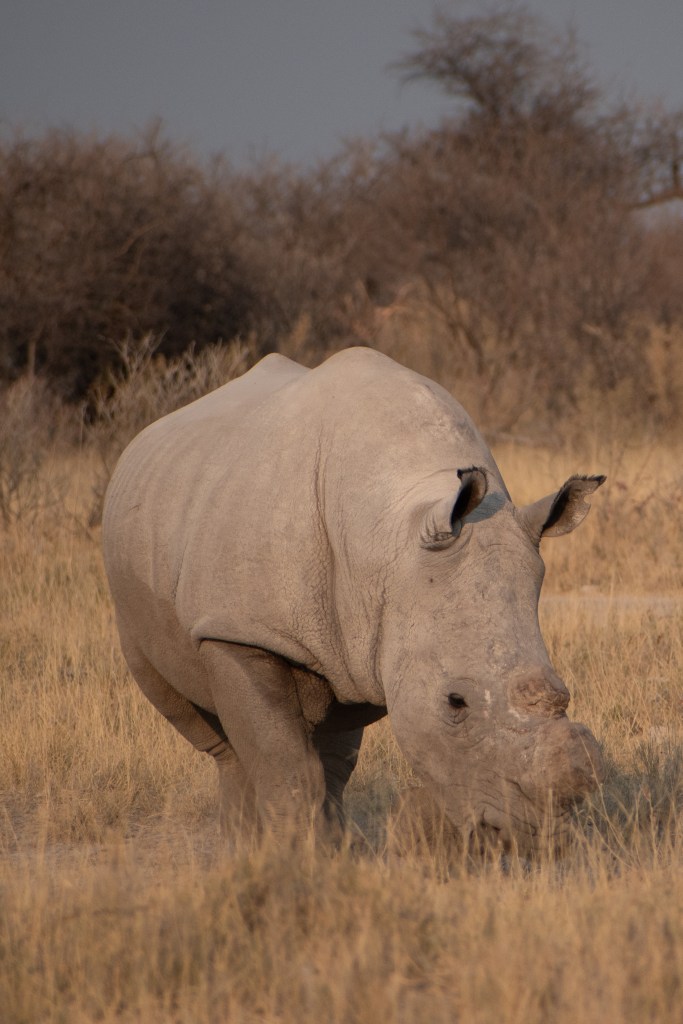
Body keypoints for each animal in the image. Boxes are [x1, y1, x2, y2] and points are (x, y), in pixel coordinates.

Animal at [102, 347, 605, 855]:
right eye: (455, 702)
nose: (531, 839)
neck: (393, 536)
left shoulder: (364, 644)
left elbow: (333, 762)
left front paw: (332, 849)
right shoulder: (240, 630)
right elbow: (285, 761)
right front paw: (296, 857)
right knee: (201, 721)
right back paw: (238, 844)